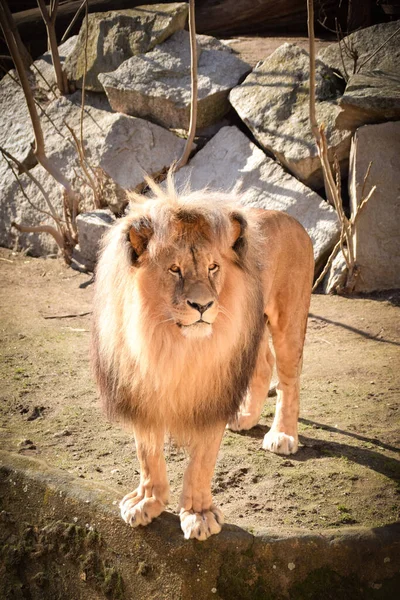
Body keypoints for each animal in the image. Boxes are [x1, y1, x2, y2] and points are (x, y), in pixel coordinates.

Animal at [92, 176, 314, 540]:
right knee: (263, 364)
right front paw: (147, 501)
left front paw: (198, 514)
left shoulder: (213, 390)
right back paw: (245, 417)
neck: (171, 344)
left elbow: (202, 461)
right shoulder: (139, 385)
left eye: (213, 267)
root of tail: (289, 216)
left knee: (289, 378)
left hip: (288, 318)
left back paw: (282, 435)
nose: (203, 305)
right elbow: (147, 453)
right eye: (174, 269)